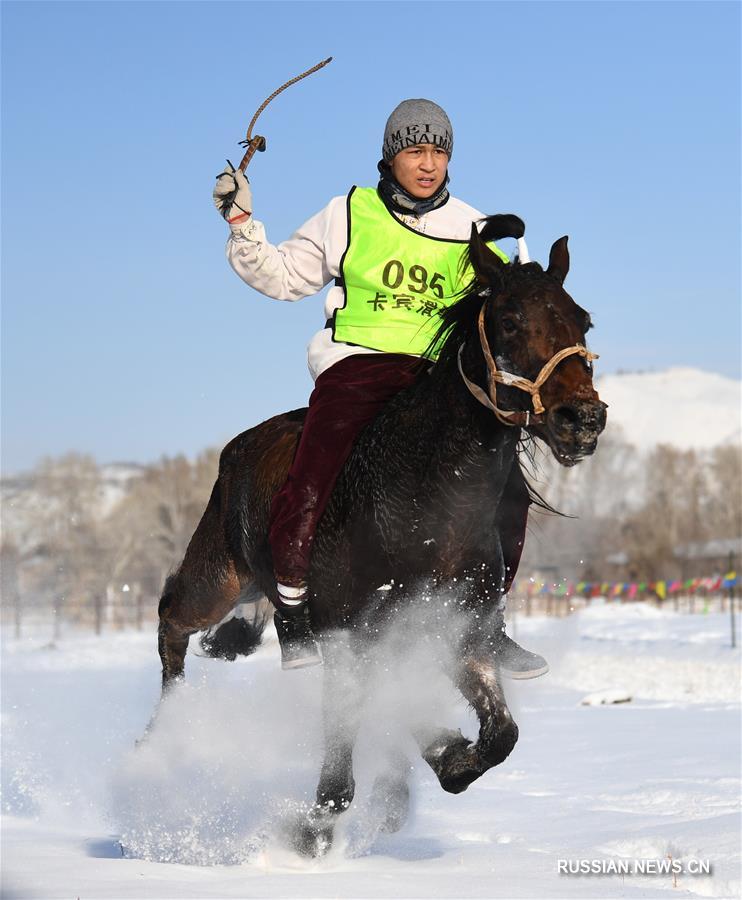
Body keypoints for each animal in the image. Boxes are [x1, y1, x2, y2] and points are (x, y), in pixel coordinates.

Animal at [153, 216, 612, 852]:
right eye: (510, 320)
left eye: (582, 320)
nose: (581, 420)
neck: (425, 500)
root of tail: (237, 449)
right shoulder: (348, 630)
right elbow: (343, 754)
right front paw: (314, 829)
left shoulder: (449, 626)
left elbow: (498, 733)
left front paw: (449, 757)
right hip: (219, 577)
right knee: (172, 618)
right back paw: (162, 738)